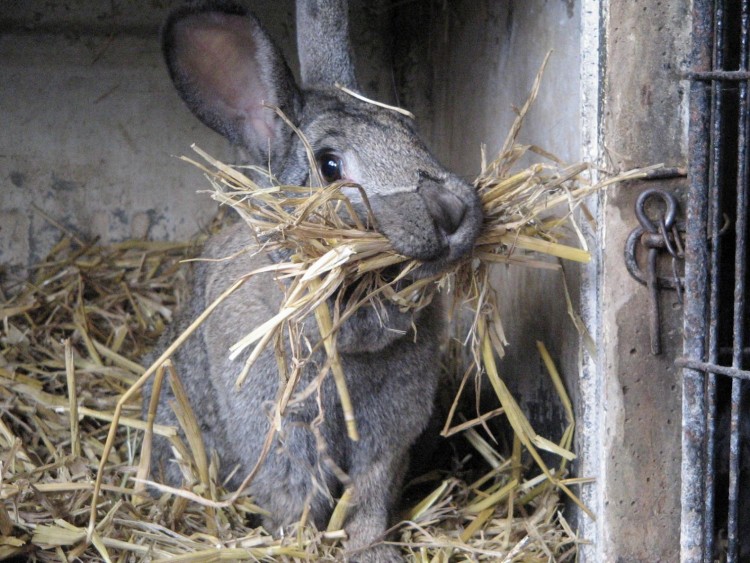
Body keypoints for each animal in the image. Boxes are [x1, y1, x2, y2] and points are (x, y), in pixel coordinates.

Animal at [148, 2, 482, 560]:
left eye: (410, 131)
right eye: (329, 165)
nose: (451, 213)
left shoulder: (385, 443)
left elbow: (369, 499)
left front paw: (371, 550)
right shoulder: (284, 441)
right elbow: (296, 499)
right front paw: (302, 545)